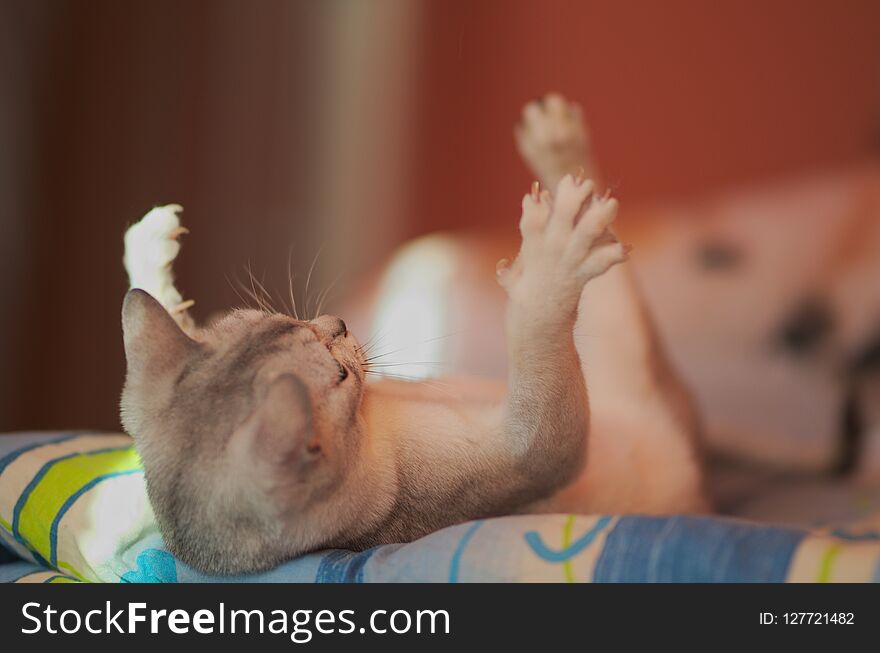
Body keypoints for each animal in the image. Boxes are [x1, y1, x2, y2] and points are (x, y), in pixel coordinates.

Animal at [120, 94, 708, 572]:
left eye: (280, 318)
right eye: (339, 374)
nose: (338, 323)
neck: (374, 422)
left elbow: (159, 326)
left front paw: (147, 249)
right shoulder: (531, 460)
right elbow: (542, 394)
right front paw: (544, 280)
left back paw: (561, 154)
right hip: (622, 352)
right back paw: (564, 225)